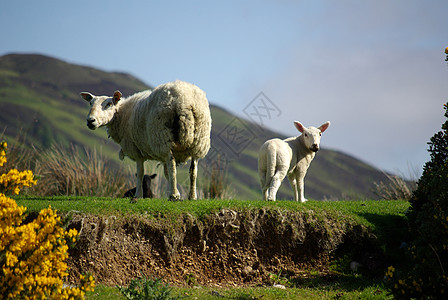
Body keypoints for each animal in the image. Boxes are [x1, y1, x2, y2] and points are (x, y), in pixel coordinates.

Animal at [79, 81, 212, 200]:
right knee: (193, 170)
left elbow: (140, 173)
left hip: (163, 138)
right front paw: (174, 192)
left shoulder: (136, 150)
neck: (121, 115)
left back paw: (174, 195)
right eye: (90, 103)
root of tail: (184, 101)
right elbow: (166, 173)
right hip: (199, 142)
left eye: (109, 104)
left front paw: (138, 195)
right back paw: (192, 196)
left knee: (172, 166)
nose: (90, 121)